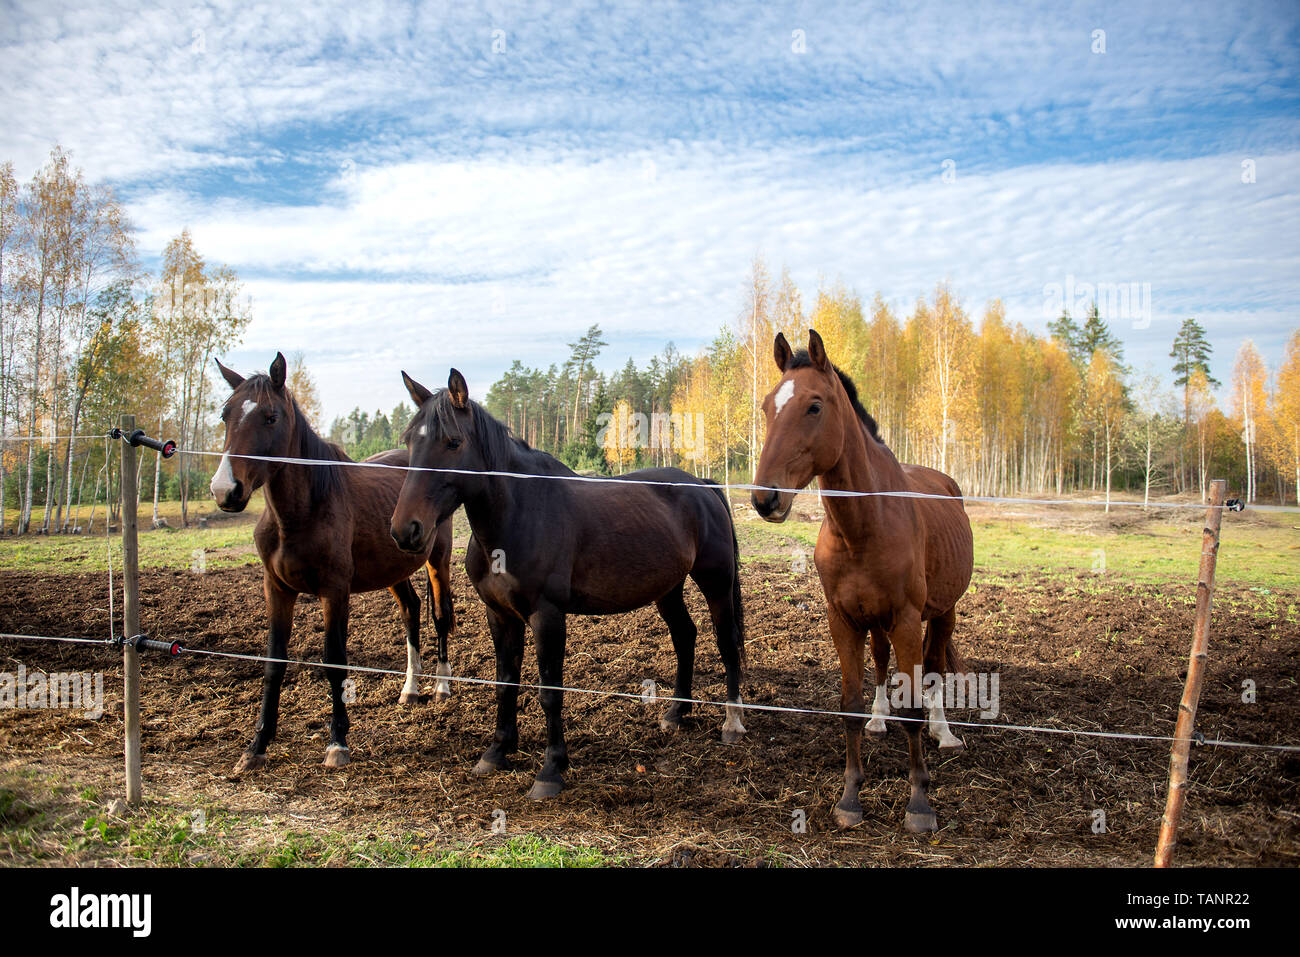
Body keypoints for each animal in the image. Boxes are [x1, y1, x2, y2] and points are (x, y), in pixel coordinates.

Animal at [209, 352, 456, 773]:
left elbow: (334, 661)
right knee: (411, 611)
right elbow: (274, 662)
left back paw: (440, 686)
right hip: (394, 568)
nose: (226, 490)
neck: (301, 513)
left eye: (271, 417)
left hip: (437, 561)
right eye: (226, 415)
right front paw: (256, 745)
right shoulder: (276, 589)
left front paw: (337, 742)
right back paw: (410, 689)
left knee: (439, 617)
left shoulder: (334, 592)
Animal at [389, 368, 746, 800]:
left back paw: (732, 723)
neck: (518, 515)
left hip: (716, 582)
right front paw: (497, 752)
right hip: (668, 589)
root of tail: (702, 485)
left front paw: (551, 770)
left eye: (453, 441)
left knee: (726, 641)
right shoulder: (500, 616)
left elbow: (549, 692)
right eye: (410, 440)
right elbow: (505, 683)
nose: (406, 530)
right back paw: (676, 712)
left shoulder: (547, 617)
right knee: (685, 636)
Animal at [751, 330, 973, 832]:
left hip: (942, 613)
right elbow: (850, 704)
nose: (765, 498)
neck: (865, 524)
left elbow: (914, 707)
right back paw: (878, 720)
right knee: (882, 663)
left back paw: (945, 732)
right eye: (768, 407)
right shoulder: (844, 620)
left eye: (814, 406)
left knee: (934, 668)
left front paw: (919, 804)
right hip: (876, 622)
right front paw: (850, 797)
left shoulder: (908, 619)